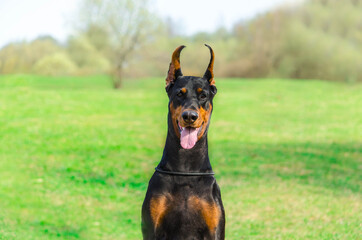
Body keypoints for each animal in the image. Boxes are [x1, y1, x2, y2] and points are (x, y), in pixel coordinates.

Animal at [142, 44, 225, 238]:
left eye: (203, 96)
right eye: (179, 93)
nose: (189, 116)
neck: (185, 170)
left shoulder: (214, 230)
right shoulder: (152, 229)